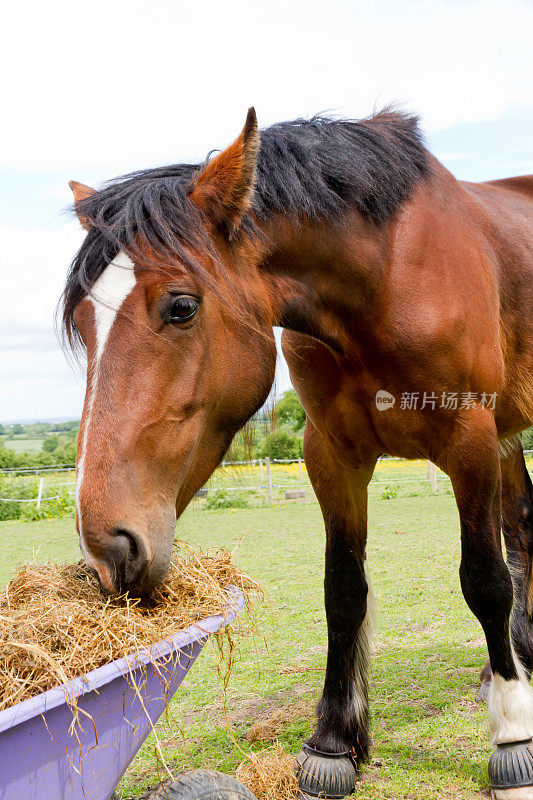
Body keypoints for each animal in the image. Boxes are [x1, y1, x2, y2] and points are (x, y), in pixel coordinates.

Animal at [65, 109, 532, 796]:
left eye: (182, 306)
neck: (388, 277)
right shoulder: (333, 454)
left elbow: (485, 581)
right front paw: (335, 742)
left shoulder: (468, 440)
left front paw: (513, 739)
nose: (107, 549)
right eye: (80, 321)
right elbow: (344, 590)